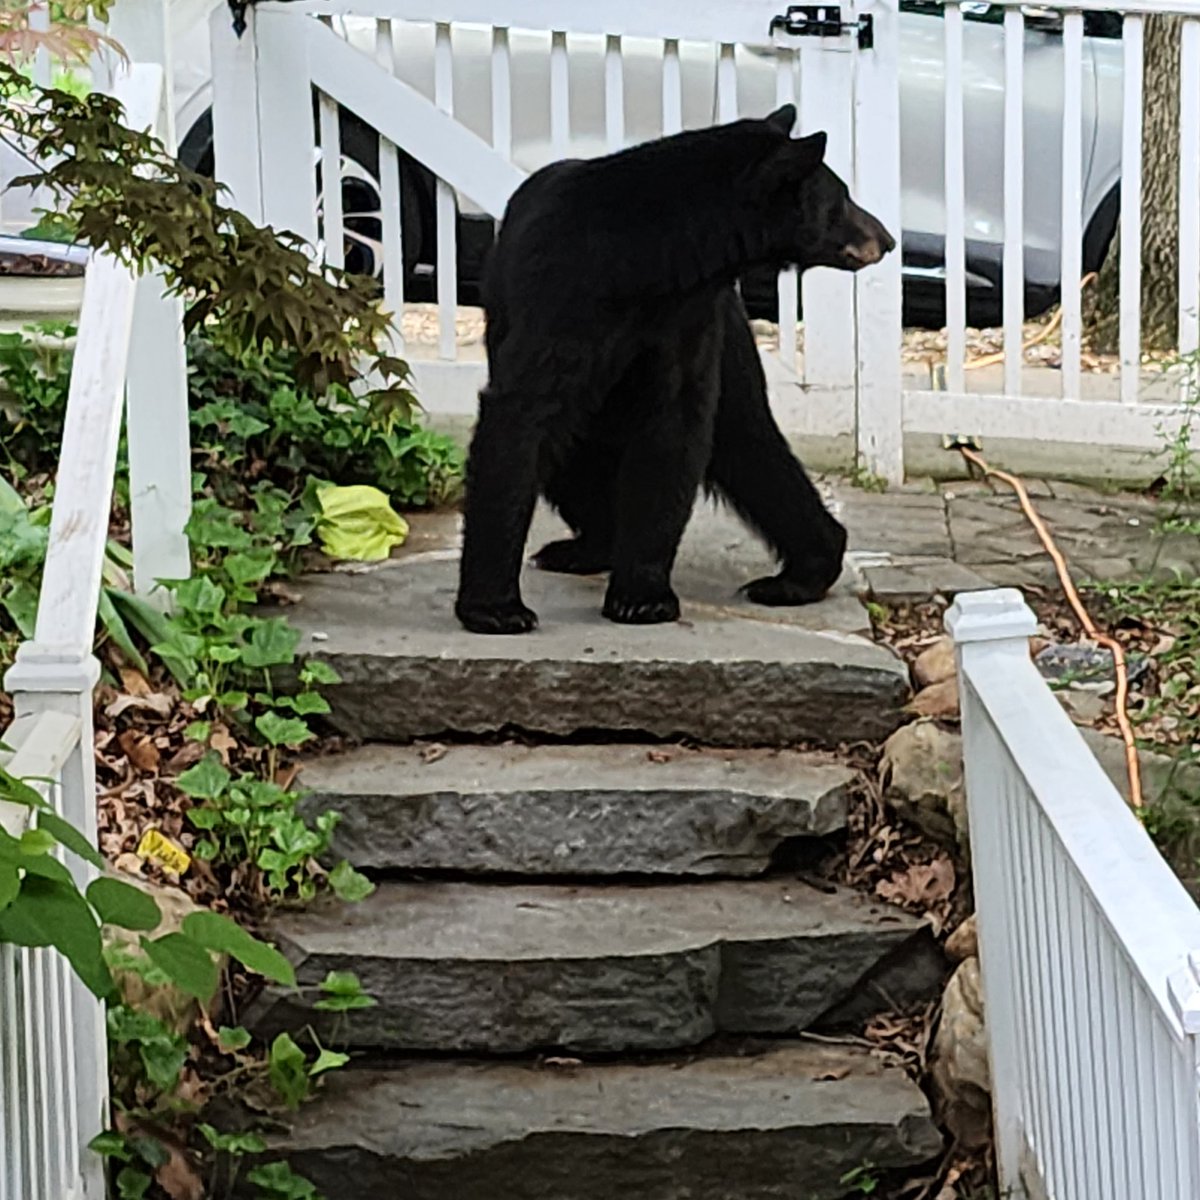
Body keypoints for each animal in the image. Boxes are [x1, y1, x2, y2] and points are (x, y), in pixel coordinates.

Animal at [453, 103, 897, 638]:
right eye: (842, 199)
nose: (888, 239)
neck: (653, 262)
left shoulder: (688, 321)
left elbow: (674, 428)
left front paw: (641, 598)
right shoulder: (563, 298)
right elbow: (523, 414)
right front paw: (496, 609)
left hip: (731, 341)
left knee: (749, 443)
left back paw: (798, 575)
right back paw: (583, 547)